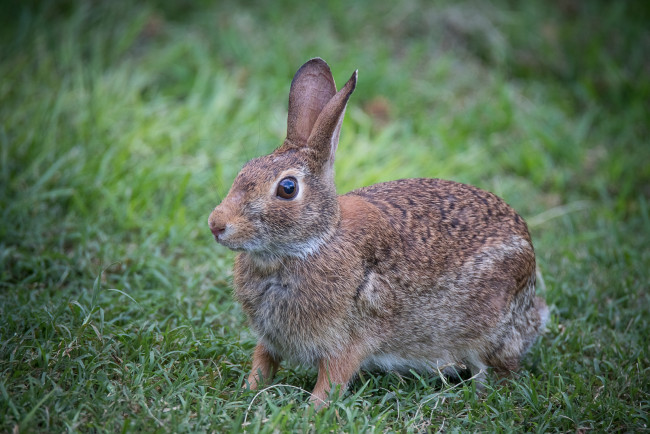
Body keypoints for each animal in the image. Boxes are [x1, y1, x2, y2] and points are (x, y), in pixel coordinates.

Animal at [208, 57, 548, 406]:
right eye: (245, 169)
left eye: (287, 188)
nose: (216, 225)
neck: (314, 242)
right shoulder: (270, 340)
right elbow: (262, 362)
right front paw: (246, 391)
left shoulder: (347, 341)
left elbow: (332, 380)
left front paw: (312, 410)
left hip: (490, 331)